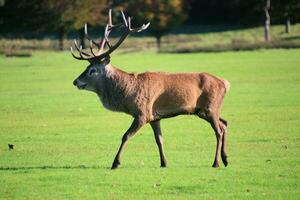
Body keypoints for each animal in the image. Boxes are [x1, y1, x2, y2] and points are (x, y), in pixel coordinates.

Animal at [70, 9, 230, 169]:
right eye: (87, 68)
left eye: (92, 70)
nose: (75, 81)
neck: (128, 93)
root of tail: (225, 83)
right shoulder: (155, 116)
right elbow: (159, 139)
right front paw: (164, 163)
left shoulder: (143, 113)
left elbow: (125, 136)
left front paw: (115, 163)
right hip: (205, 110)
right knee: (224, 123)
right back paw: (226, 159)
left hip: (210, 108)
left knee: (218, 131)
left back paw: (216, 162)